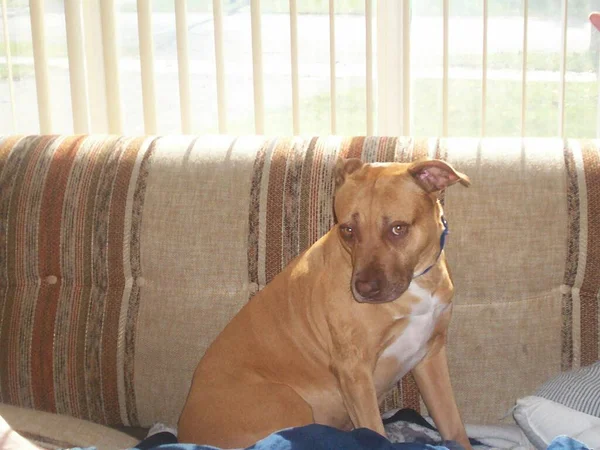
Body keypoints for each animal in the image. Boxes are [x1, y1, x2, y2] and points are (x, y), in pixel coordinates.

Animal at [178, 156, 474, 448]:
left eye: (398, 228)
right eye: (348, 230)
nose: (363, 289)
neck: (418, 282)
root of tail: (187, 431)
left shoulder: (431, 357)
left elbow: (453, 426)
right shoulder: (355, 371)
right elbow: (374, 431)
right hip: (289, 404)